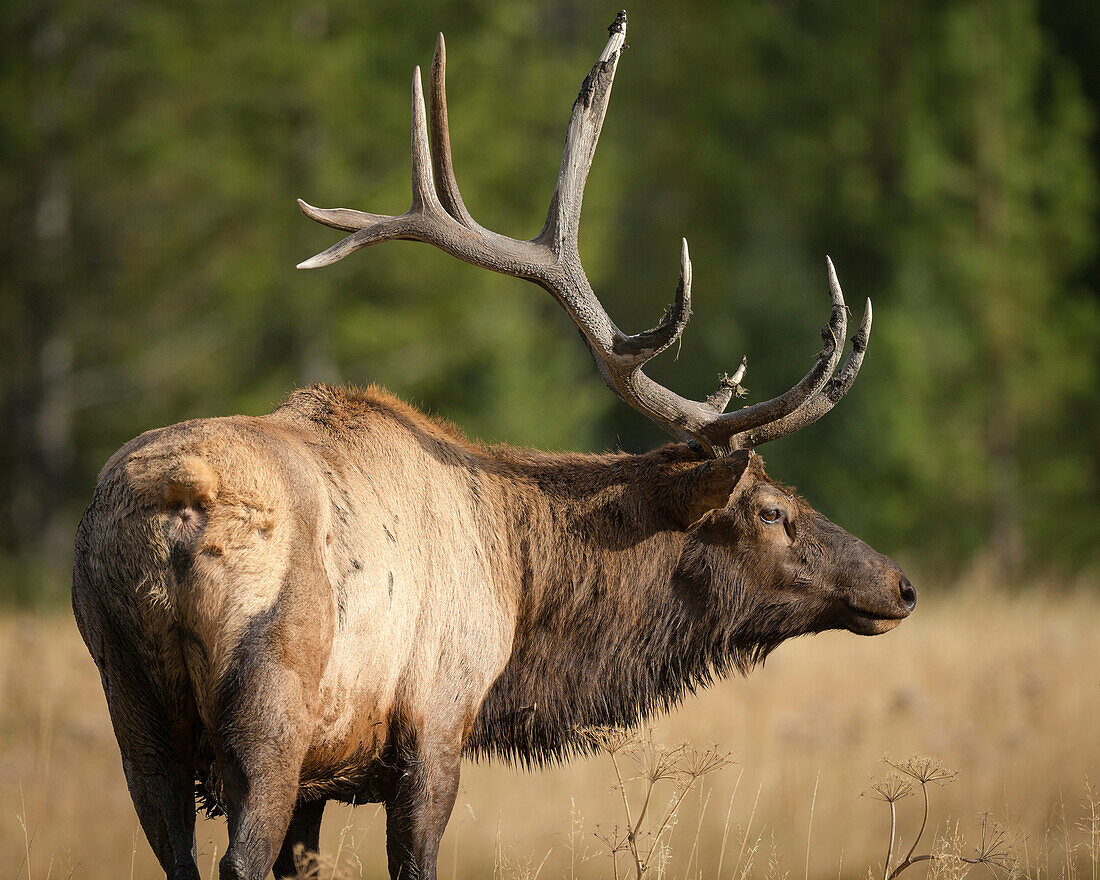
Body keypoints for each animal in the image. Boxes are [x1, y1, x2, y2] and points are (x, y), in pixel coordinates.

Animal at [73, 12, 915, 880]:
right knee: (235, 855)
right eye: (770, 509)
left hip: (130, 703)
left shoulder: (321, 774)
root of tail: (173, 509)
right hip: (270, 702)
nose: (899, 585)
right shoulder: (436, 723)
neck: (519, 576)